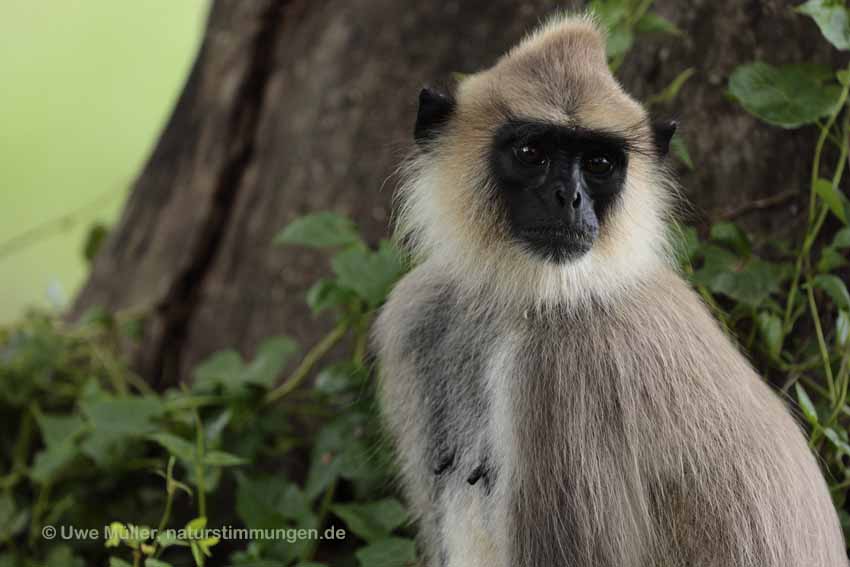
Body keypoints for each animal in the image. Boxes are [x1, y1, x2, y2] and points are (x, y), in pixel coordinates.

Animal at [372, 13, 848, 567]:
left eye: (599, 163)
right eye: (532, 152)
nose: (570, 198)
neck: (524, 296)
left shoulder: (568, 366)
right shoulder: (417, 312)